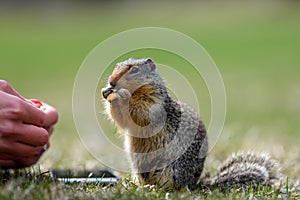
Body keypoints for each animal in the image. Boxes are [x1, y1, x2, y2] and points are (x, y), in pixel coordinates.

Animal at [102, 58, 280, 191]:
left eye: (134, 70)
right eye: (116, 67)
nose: (111, 82)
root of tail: (194, 184)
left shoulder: (153, 101)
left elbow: (141, 113)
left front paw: (122, 95)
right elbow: (122, 120)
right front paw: (108, 94)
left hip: (170, 170)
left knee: (172, 187)